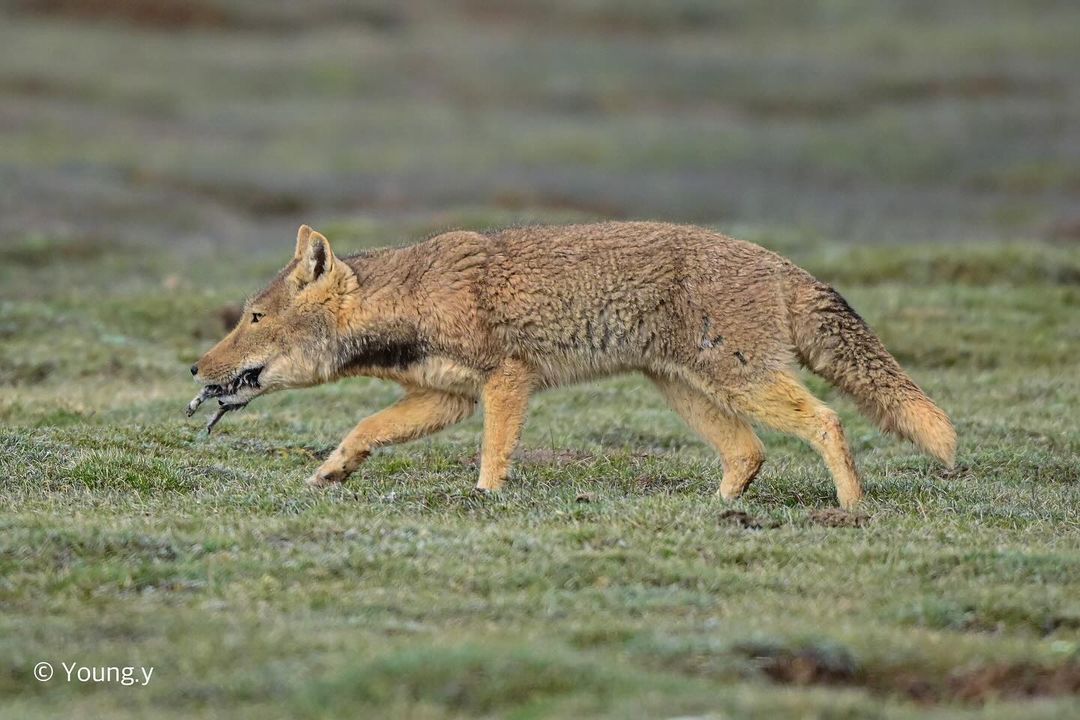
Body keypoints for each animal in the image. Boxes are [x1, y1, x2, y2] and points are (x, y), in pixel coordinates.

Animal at [190, 222, 959, 509]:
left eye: (251, 319)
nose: (197, 372)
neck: (410, 298)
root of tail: (781, 262)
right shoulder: (448, 399)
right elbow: (363, 430)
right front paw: (330, 473)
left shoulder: (505, 381)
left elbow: (493, 457)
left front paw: (486, 501)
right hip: (685, 390)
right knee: (750, 453)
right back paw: (712, 511)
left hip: (742, 383)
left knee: (827, 422)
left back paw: (851, 509)